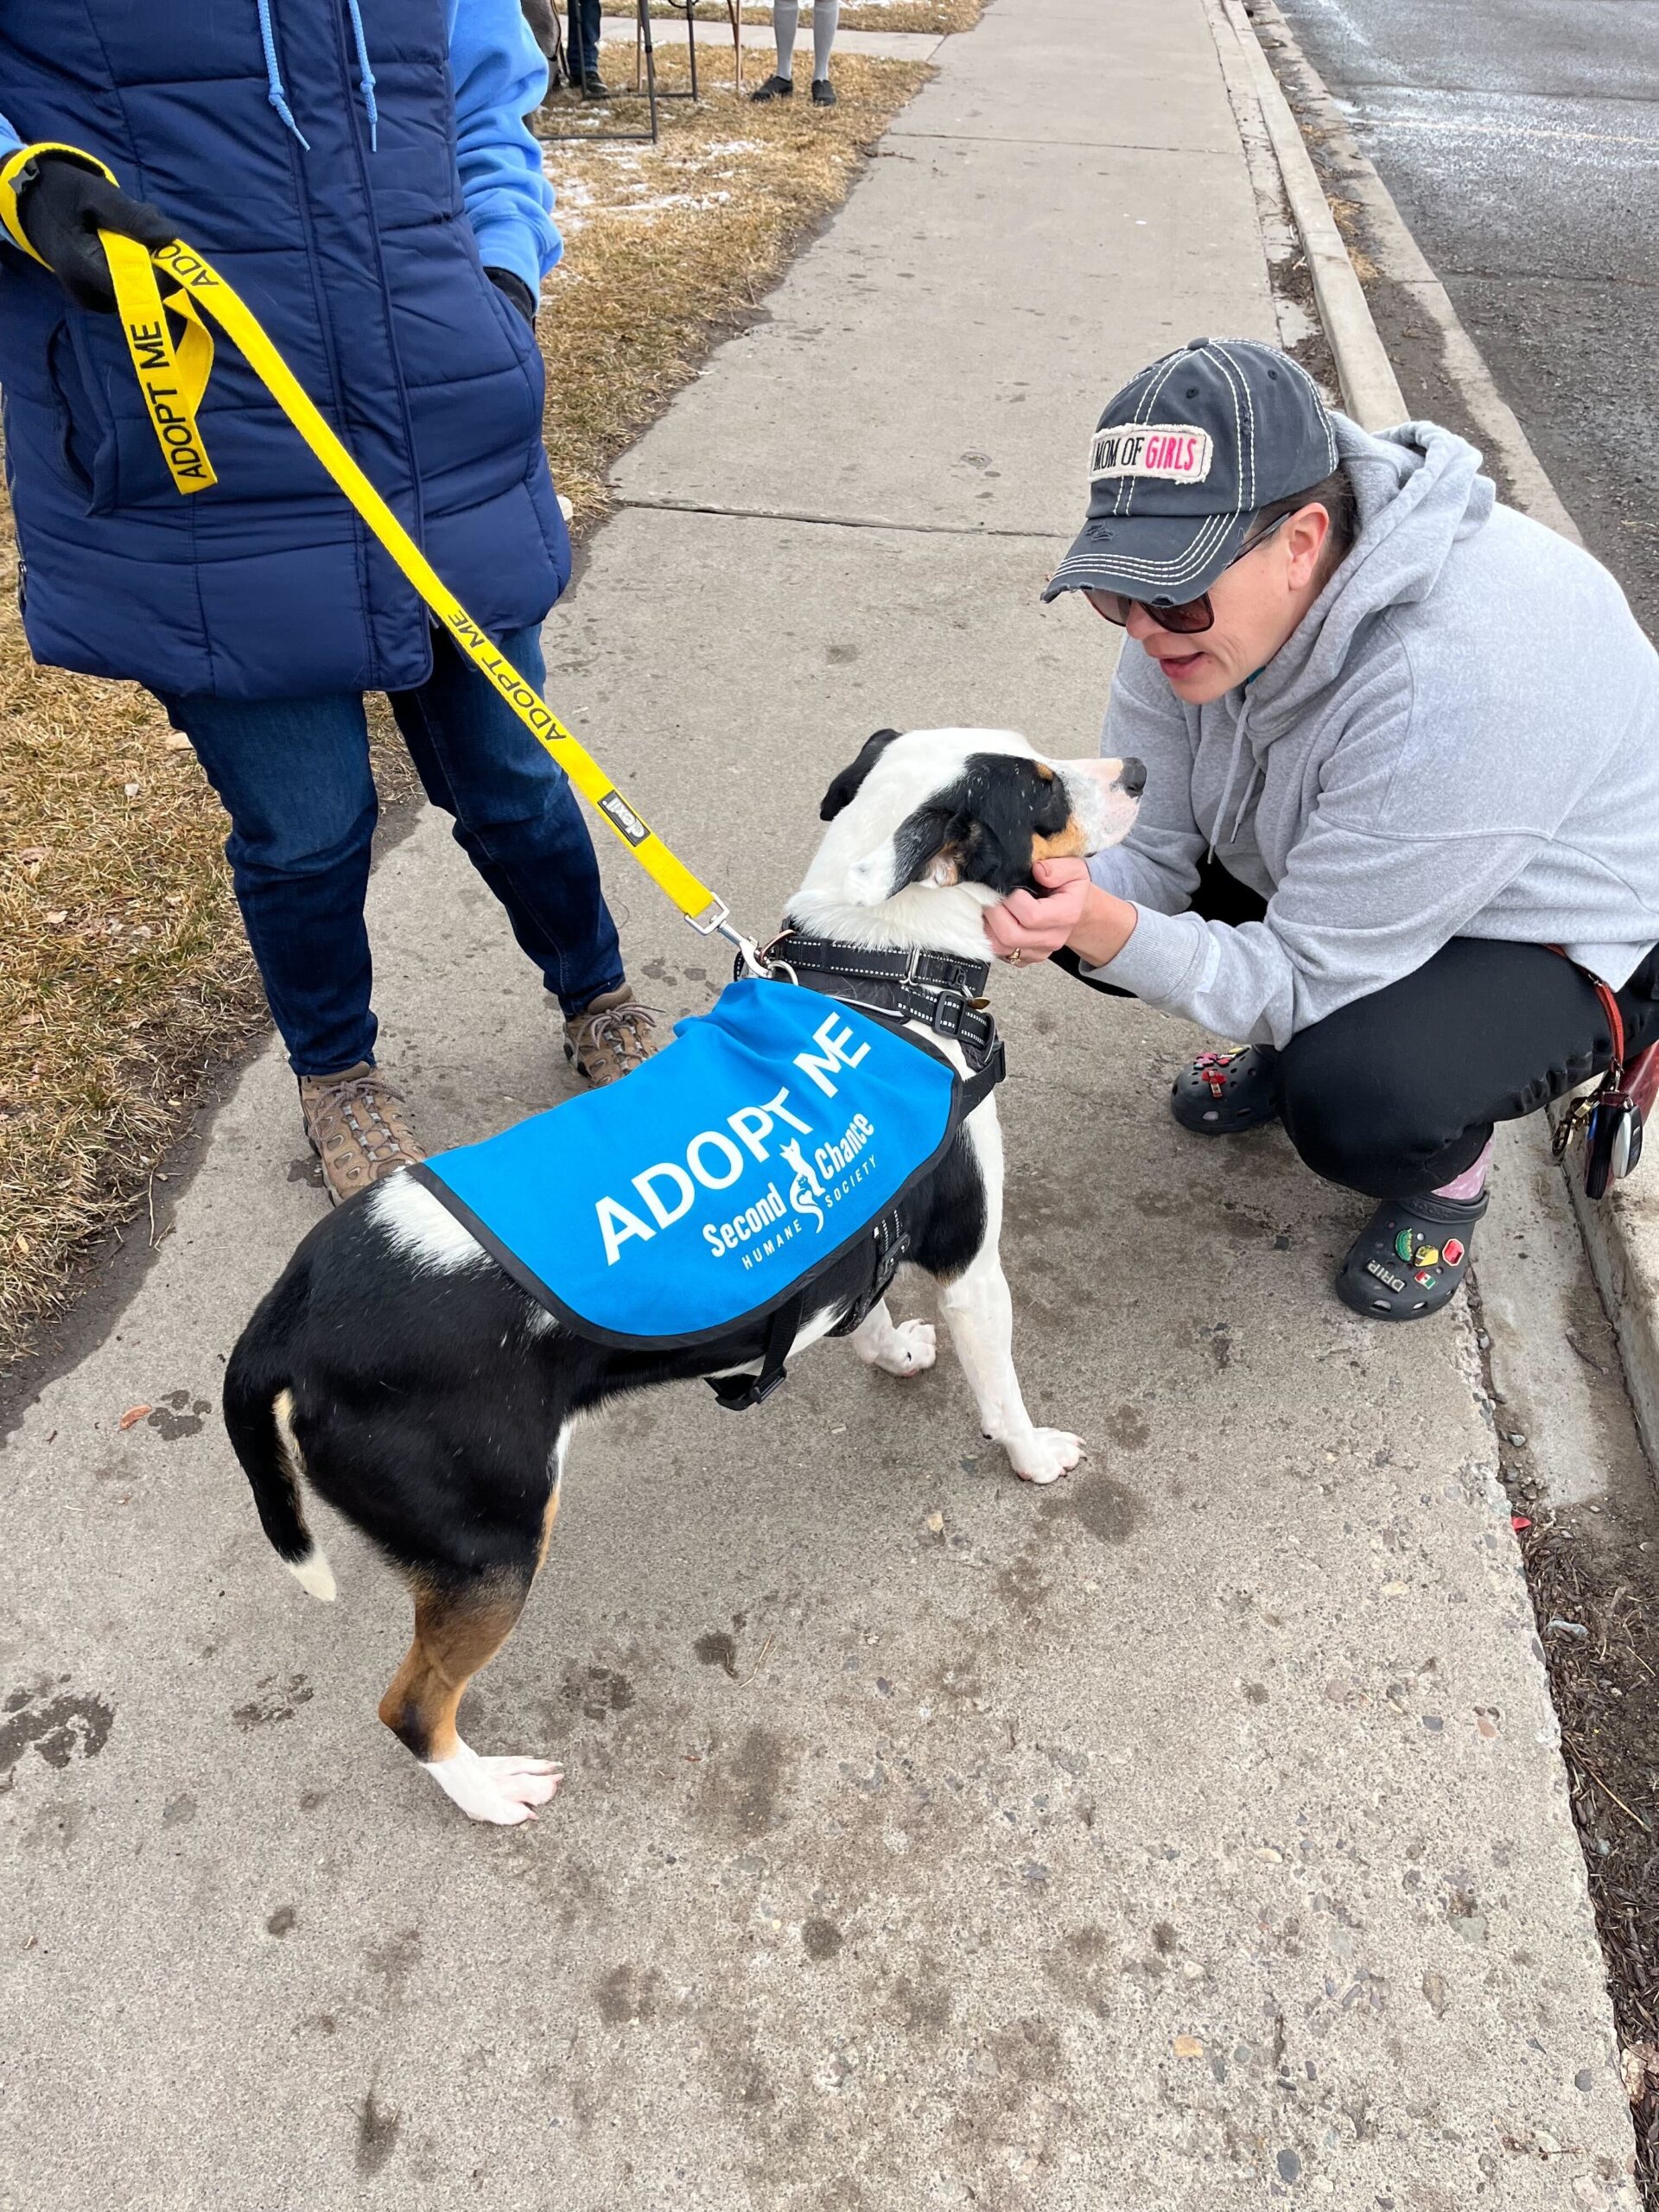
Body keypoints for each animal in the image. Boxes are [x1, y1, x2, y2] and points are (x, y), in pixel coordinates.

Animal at [224, 734, 1141, 1822]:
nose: (1134, 772)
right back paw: (486, 1789)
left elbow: (864, 1308)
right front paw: (1033, 1456)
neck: (878, 974)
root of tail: (289, 1318)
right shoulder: (971, 1268)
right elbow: (1001, 1395)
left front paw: (891, 1350)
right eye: (1041, 788)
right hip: (490, 1548)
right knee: (410, 1703)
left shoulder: (853, 1234)